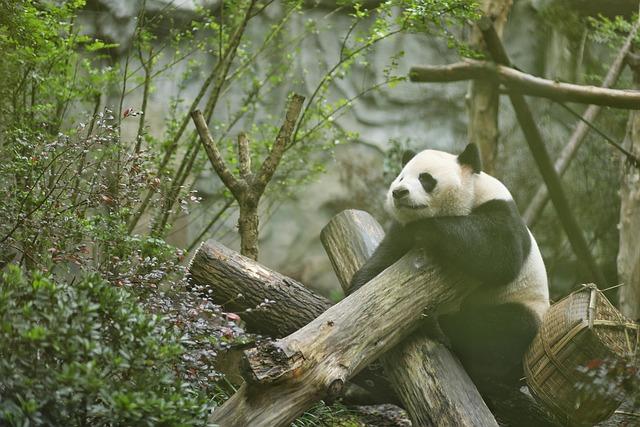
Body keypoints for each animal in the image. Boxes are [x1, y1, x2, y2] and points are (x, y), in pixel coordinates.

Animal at [350, 145, 552, 414]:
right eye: (401, 177)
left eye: (425, 178)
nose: (398, 192)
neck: (467, 201)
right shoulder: (399, 234)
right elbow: (382, 263)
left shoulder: (500, 210)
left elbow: (499, 251)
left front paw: (427, 230)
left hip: (523, 304)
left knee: (501, 327)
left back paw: (437, 326)